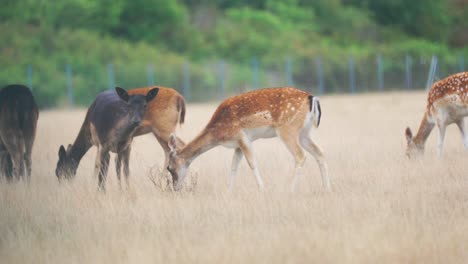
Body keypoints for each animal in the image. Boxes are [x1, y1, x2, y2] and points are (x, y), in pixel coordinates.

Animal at [166, 86, 330, 192]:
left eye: (169, 167)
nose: (175, 188)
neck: (218, 132)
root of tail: (312, 99)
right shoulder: (237, 144)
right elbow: (233, 167)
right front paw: (229, 192)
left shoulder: (242, 137)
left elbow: (252, 163)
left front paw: (262, 189)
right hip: (304, 132)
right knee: (320, 152)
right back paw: (327, 188)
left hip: (287, 129)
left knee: (300, 155)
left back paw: (291, 190)